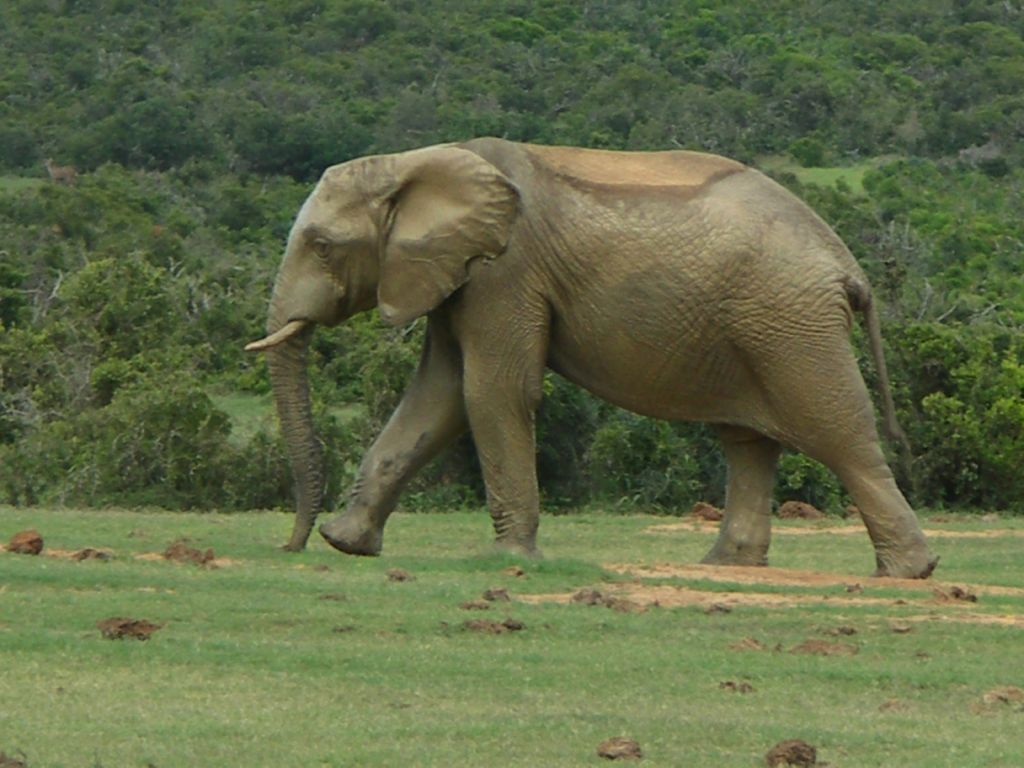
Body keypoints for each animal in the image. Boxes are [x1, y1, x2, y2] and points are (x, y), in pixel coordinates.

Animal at [245, 138, 937, 581]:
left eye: (323, 246)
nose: (289, 547)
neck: (415, 161)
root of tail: (848, 266)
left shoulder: (505, 273)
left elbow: (490, 393)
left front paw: (510, 562)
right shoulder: (455, 276)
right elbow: (437, 398)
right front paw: (347, 545)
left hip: (790, 326)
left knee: (838, 433)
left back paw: (908, 572)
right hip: (758, 328)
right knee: (747, 441)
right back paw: (726, 566)